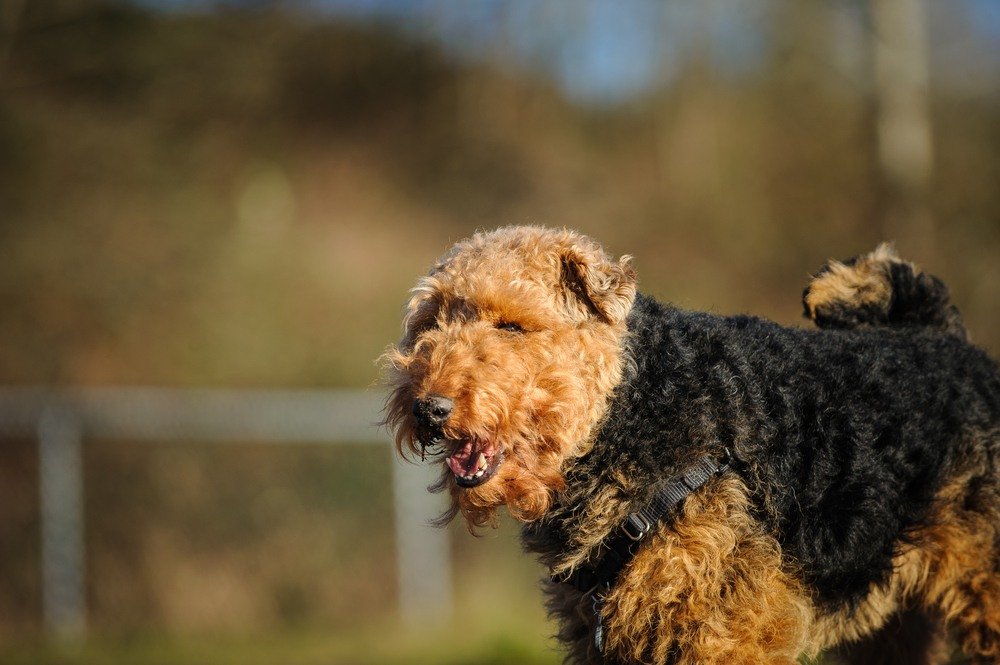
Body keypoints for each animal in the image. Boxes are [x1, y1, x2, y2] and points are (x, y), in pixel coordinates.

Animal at [378, 226, 996, 660]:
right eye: (430, 320)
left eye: (511, 325)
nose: (428, 408)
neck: (630, 408)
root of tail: (944, 338)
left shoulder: (722, 631)